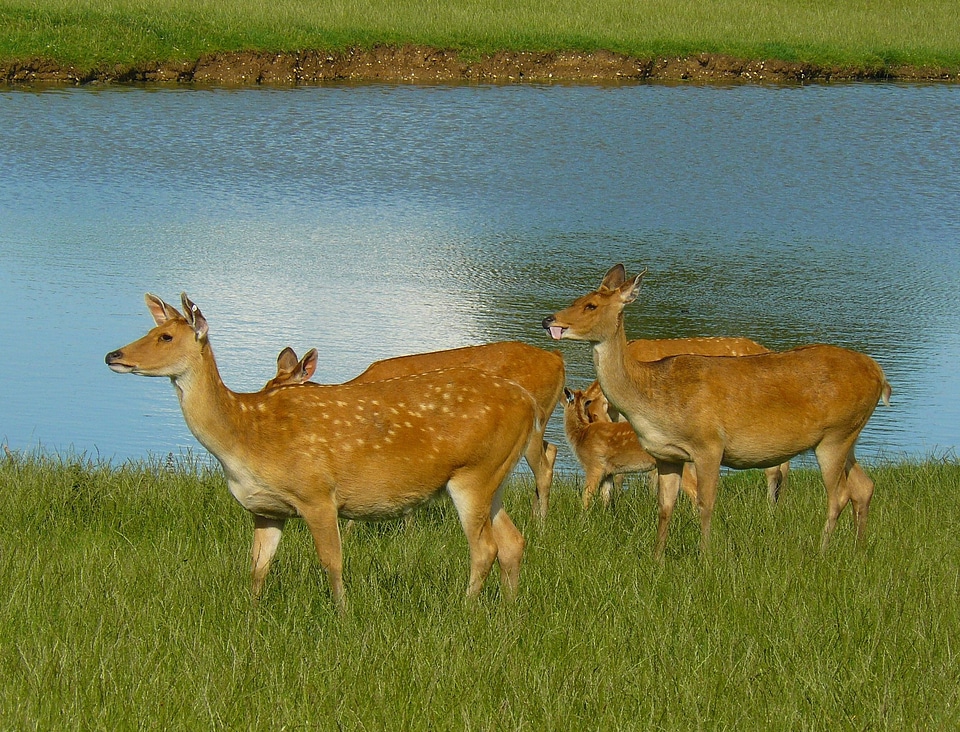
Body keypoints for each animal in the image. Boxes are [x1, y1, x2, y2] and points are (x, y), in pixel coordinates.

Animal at [564, 388, 696, 508]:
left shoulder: (595, 465)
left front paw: (583, 516)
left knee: (694, 491)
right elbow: (606, 497)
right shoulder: (608, 472)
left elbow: (586, 496)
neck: (581, 434)